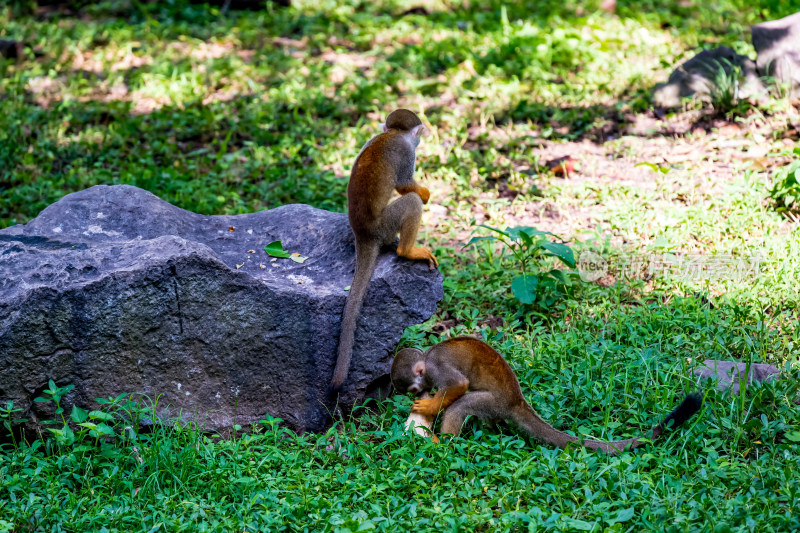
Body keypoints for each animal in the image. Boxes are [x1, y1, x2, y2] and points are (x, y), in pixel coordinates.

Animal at [330, 109, 440, 390]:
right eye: (418, 137)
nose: (422, 140)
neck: (391, 134)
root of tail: (364, 233)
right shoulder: (405, 152)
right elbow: (404, 185)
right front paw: (425, 192)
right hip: (386, 224)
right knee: (410, 202)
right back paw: (407, 250)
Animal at [392, 336, 700, 454]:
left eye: (413, 390)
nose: (422, 394)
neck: (428, 356)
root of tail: (517, 399)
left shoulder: (436, 366)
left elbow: (458, 384)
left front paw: (429, 408)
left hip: (494, 402)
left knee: (463, 404)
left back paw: (443, 443)